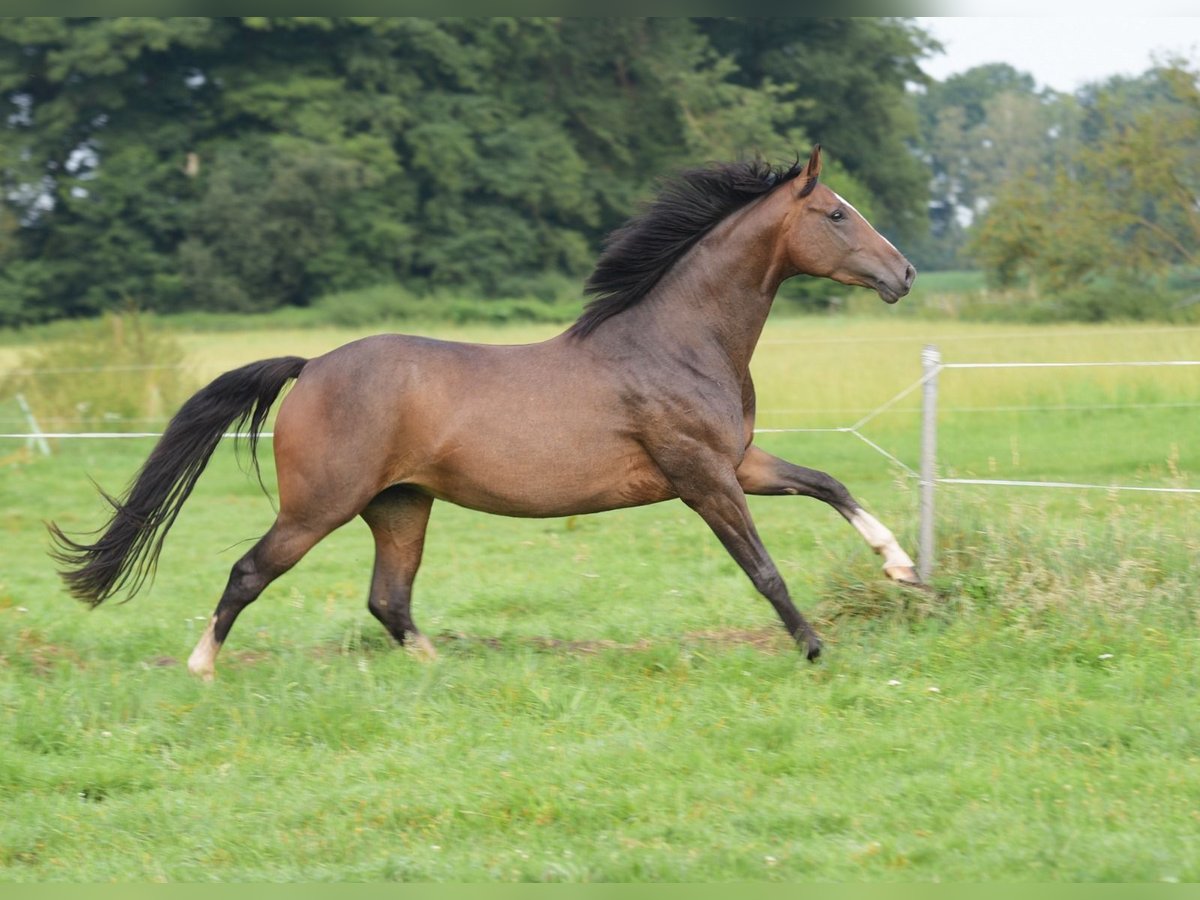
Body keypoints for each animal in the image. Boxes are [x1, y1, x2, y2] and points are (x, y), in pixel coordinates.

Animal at [51, 148, 916, 681]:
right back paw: (201, 667)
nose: (904, 274)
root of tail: (312, 366)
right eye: (836, 214)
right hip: (319, 505)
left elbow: (831, 483)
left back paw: (439, 670)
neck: (675, 342)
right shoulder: (703, 477)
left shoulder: (737, 462)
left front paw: (902, 566)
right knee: (250, 571)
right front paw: (813, 647)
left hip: (400, 505)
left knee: (388, 599)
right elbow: (762, 567)